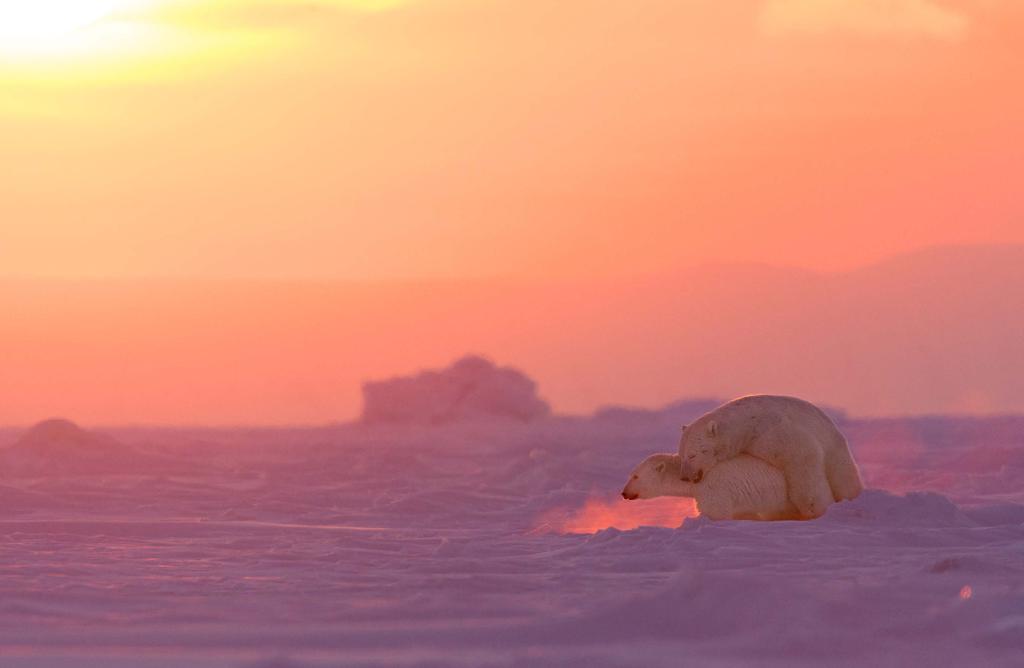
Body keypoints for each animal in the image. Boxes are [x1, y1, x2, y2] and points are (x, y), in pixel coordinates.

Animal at [679, 393, 864, 518]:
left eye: (693, 455)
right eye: (682, 455)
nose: (685, 477)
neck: (745, 427)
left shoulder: (773, 431)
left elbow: (803, 457)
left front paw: (815, 508)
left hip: (835, 448)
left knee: (843, 477)